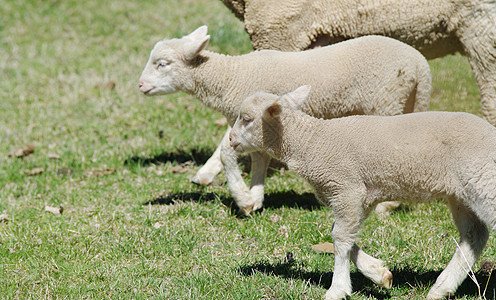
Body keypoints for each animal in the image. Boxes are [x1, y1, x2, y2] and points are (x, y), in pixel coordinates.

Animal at [139, 25, 430, 213]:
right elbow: (258, 157)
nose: (140, 85)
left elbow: (226, 151)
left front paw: (242, 197)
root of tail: (420, 64)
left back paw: (386, 206)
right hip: (405, 101)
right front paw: (253, 197)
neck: (231, 76)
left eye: (162, 64)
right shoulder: (258, 127)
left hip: (386, 101)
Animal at [230, 85, 496, 298]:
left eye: (247, 119)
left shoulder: (346, 187)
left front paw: (337, 289)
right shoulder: (361, 194)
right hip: (461, 195)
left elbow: (340, 238)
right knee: (474, 235)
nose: (231, 139)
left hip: (484, 181)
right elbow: (343, 234)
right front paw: (379, 273)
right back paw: (441, 288)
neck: (311, 143)